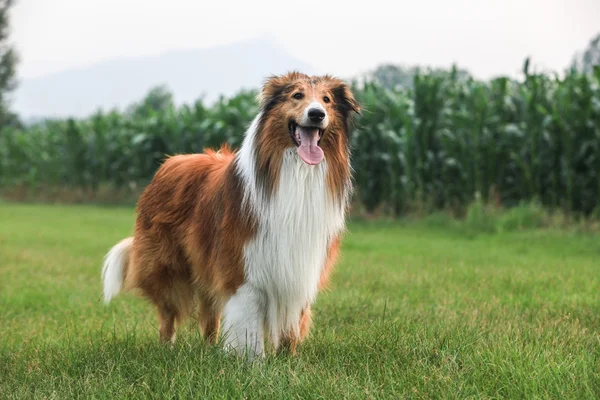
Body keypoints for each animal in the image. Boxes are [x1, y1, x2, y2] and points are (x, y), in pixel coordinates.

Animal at [101, 72, 358, 356]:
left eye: (326, 100)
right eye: (297, 95)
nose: (316, 114)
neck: (295, 173)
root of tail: (169, 162)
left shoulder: (301, 267)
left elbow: (291, 325)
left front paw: (287, 359)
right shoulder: (243, 266)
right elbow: (249, 325)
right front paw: (251, 361)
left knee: (209, 315)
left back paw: (209, 349)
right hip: (167, 267)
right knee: (168, 313)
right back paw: (167, 348)